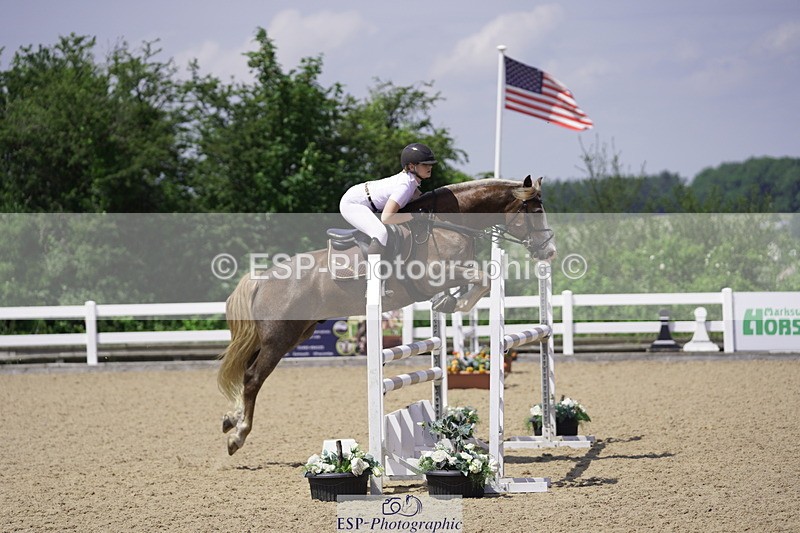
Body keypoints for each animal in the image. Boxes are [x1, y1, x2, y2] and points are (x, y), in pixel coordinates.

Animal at [217, 175, 556, 455]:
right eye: (535, 211)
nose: (548, 252)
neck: (448, 224)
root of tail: (262, 279)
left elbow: (475, 280)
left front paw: (447, 301)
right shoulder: (434, 275)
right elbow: (482, 277)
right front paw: (451, 304)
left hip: (294, 333)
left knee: (247, 371)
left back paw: (230, 419)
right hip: (279, 338)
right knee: (253, 377)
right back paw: (238, 436)